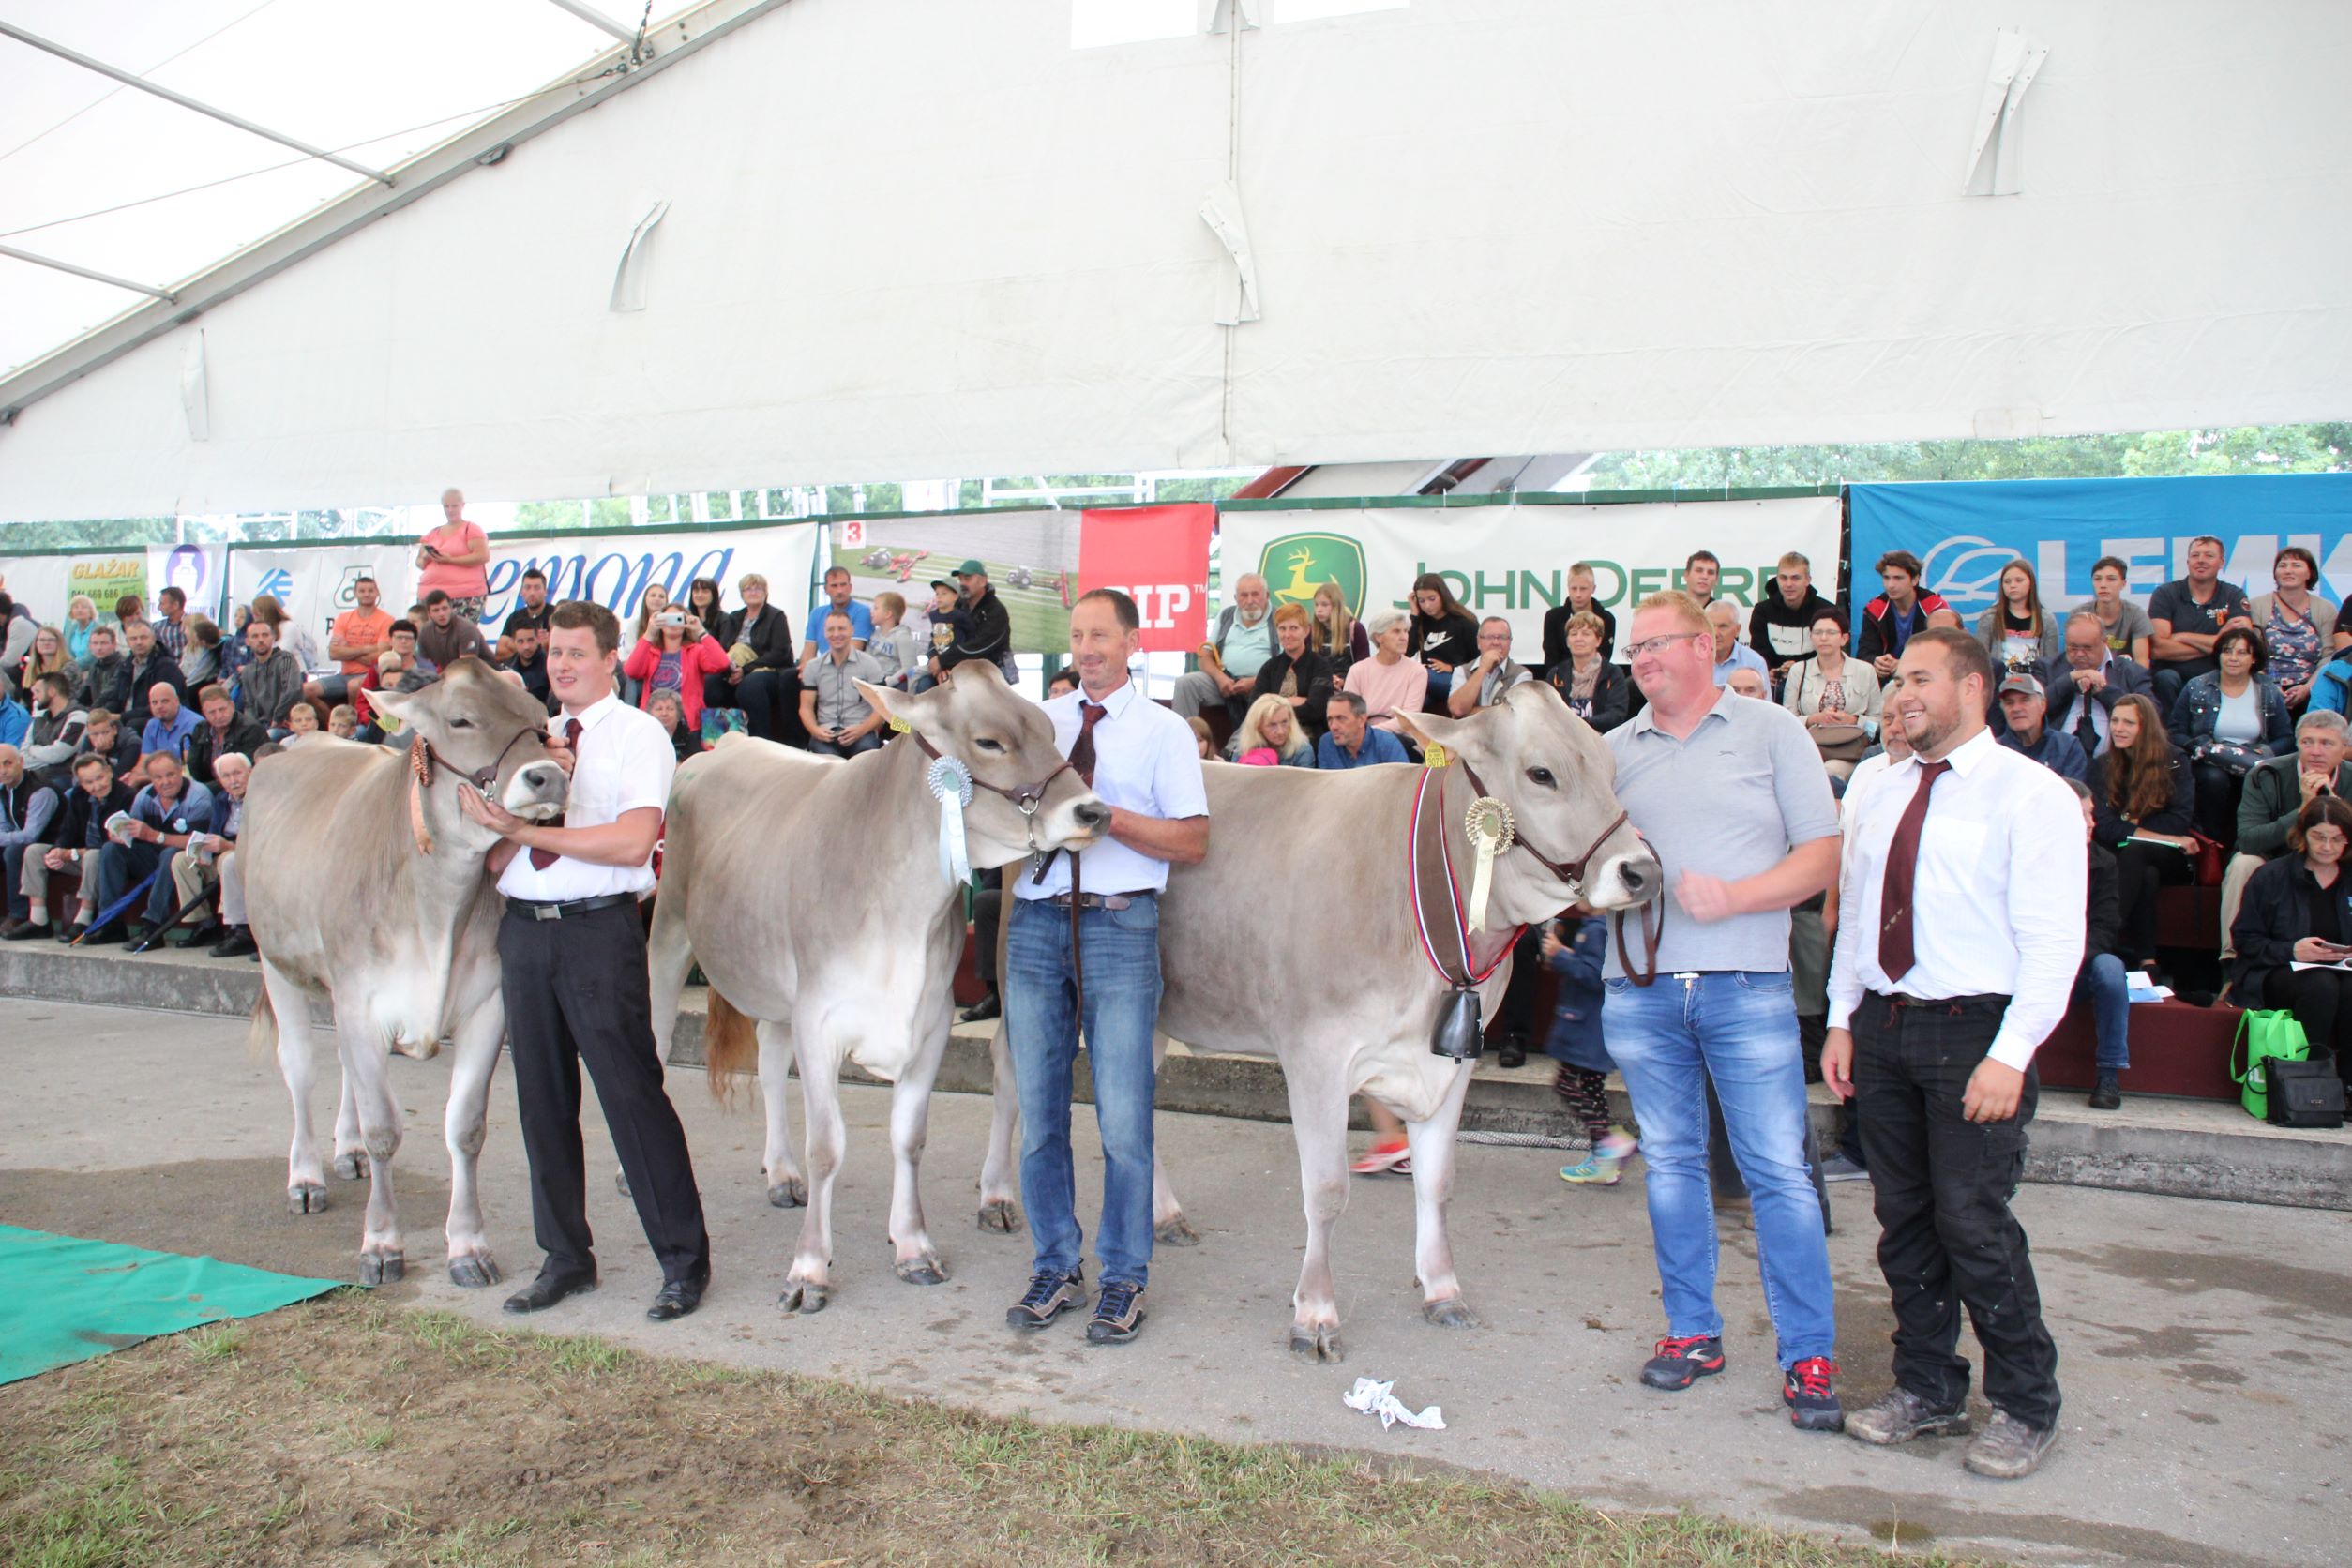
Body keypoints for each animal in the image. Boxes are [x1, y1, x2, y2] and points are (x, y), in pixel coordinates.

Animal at [243, 662, 568, 1288]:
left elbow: (465, 1128)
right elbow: (384, 1130)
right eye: (459, 720)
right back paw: (306, 1178)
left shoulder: (487, 1006)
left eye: (539, 721)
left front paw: (468, 1247)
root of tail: (294, 742)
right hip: (278, 963)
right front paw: (381, 1244)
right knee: (299, 1069)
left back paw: (345, 1153)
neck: (436, 908)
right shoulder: (360, 1003)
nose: (548, 778)